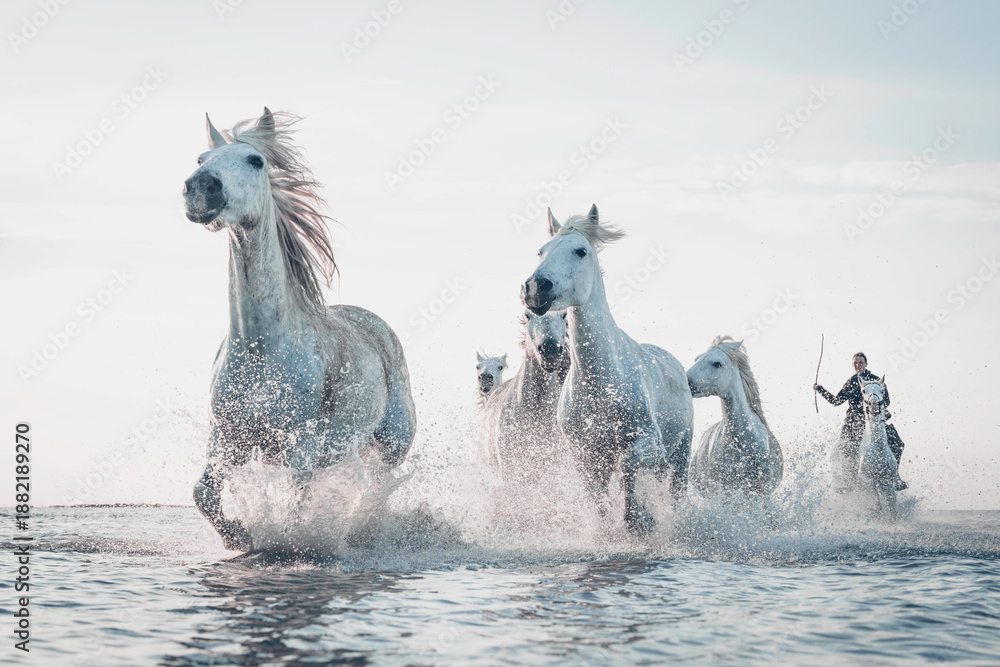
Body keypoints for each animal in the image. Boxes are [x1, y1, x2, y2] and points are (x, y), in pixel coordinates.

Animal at [182, 108, 417, 551]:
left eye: (256, 161)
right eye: (202, 159)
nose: (202, 188)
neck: (261, 350)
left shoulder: (301, 449)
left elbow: (294, 516)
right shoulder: (227, 440)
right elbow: (203, 493)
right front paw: (239, 536)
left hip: (391, 443)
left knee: (377, 488)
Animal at [521, 205, 693, 534]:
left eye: (581, 251)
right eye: (541, 251)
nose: (536, 288)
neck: (601, 386)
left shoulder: (649, 444)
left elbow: (627, 465)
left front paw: (638, 518)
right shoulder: (584, 457)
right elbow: (599, 500)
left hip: (681, 453)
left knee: (674, 490)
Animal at [858, 376, 898, 518]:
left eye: (882, 390)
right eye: (864, 391)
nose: (874, 405)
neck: (877, 450)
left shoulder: (890, 480)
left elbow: (891, 502)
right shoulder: (865, 478)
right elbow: (874, 490)